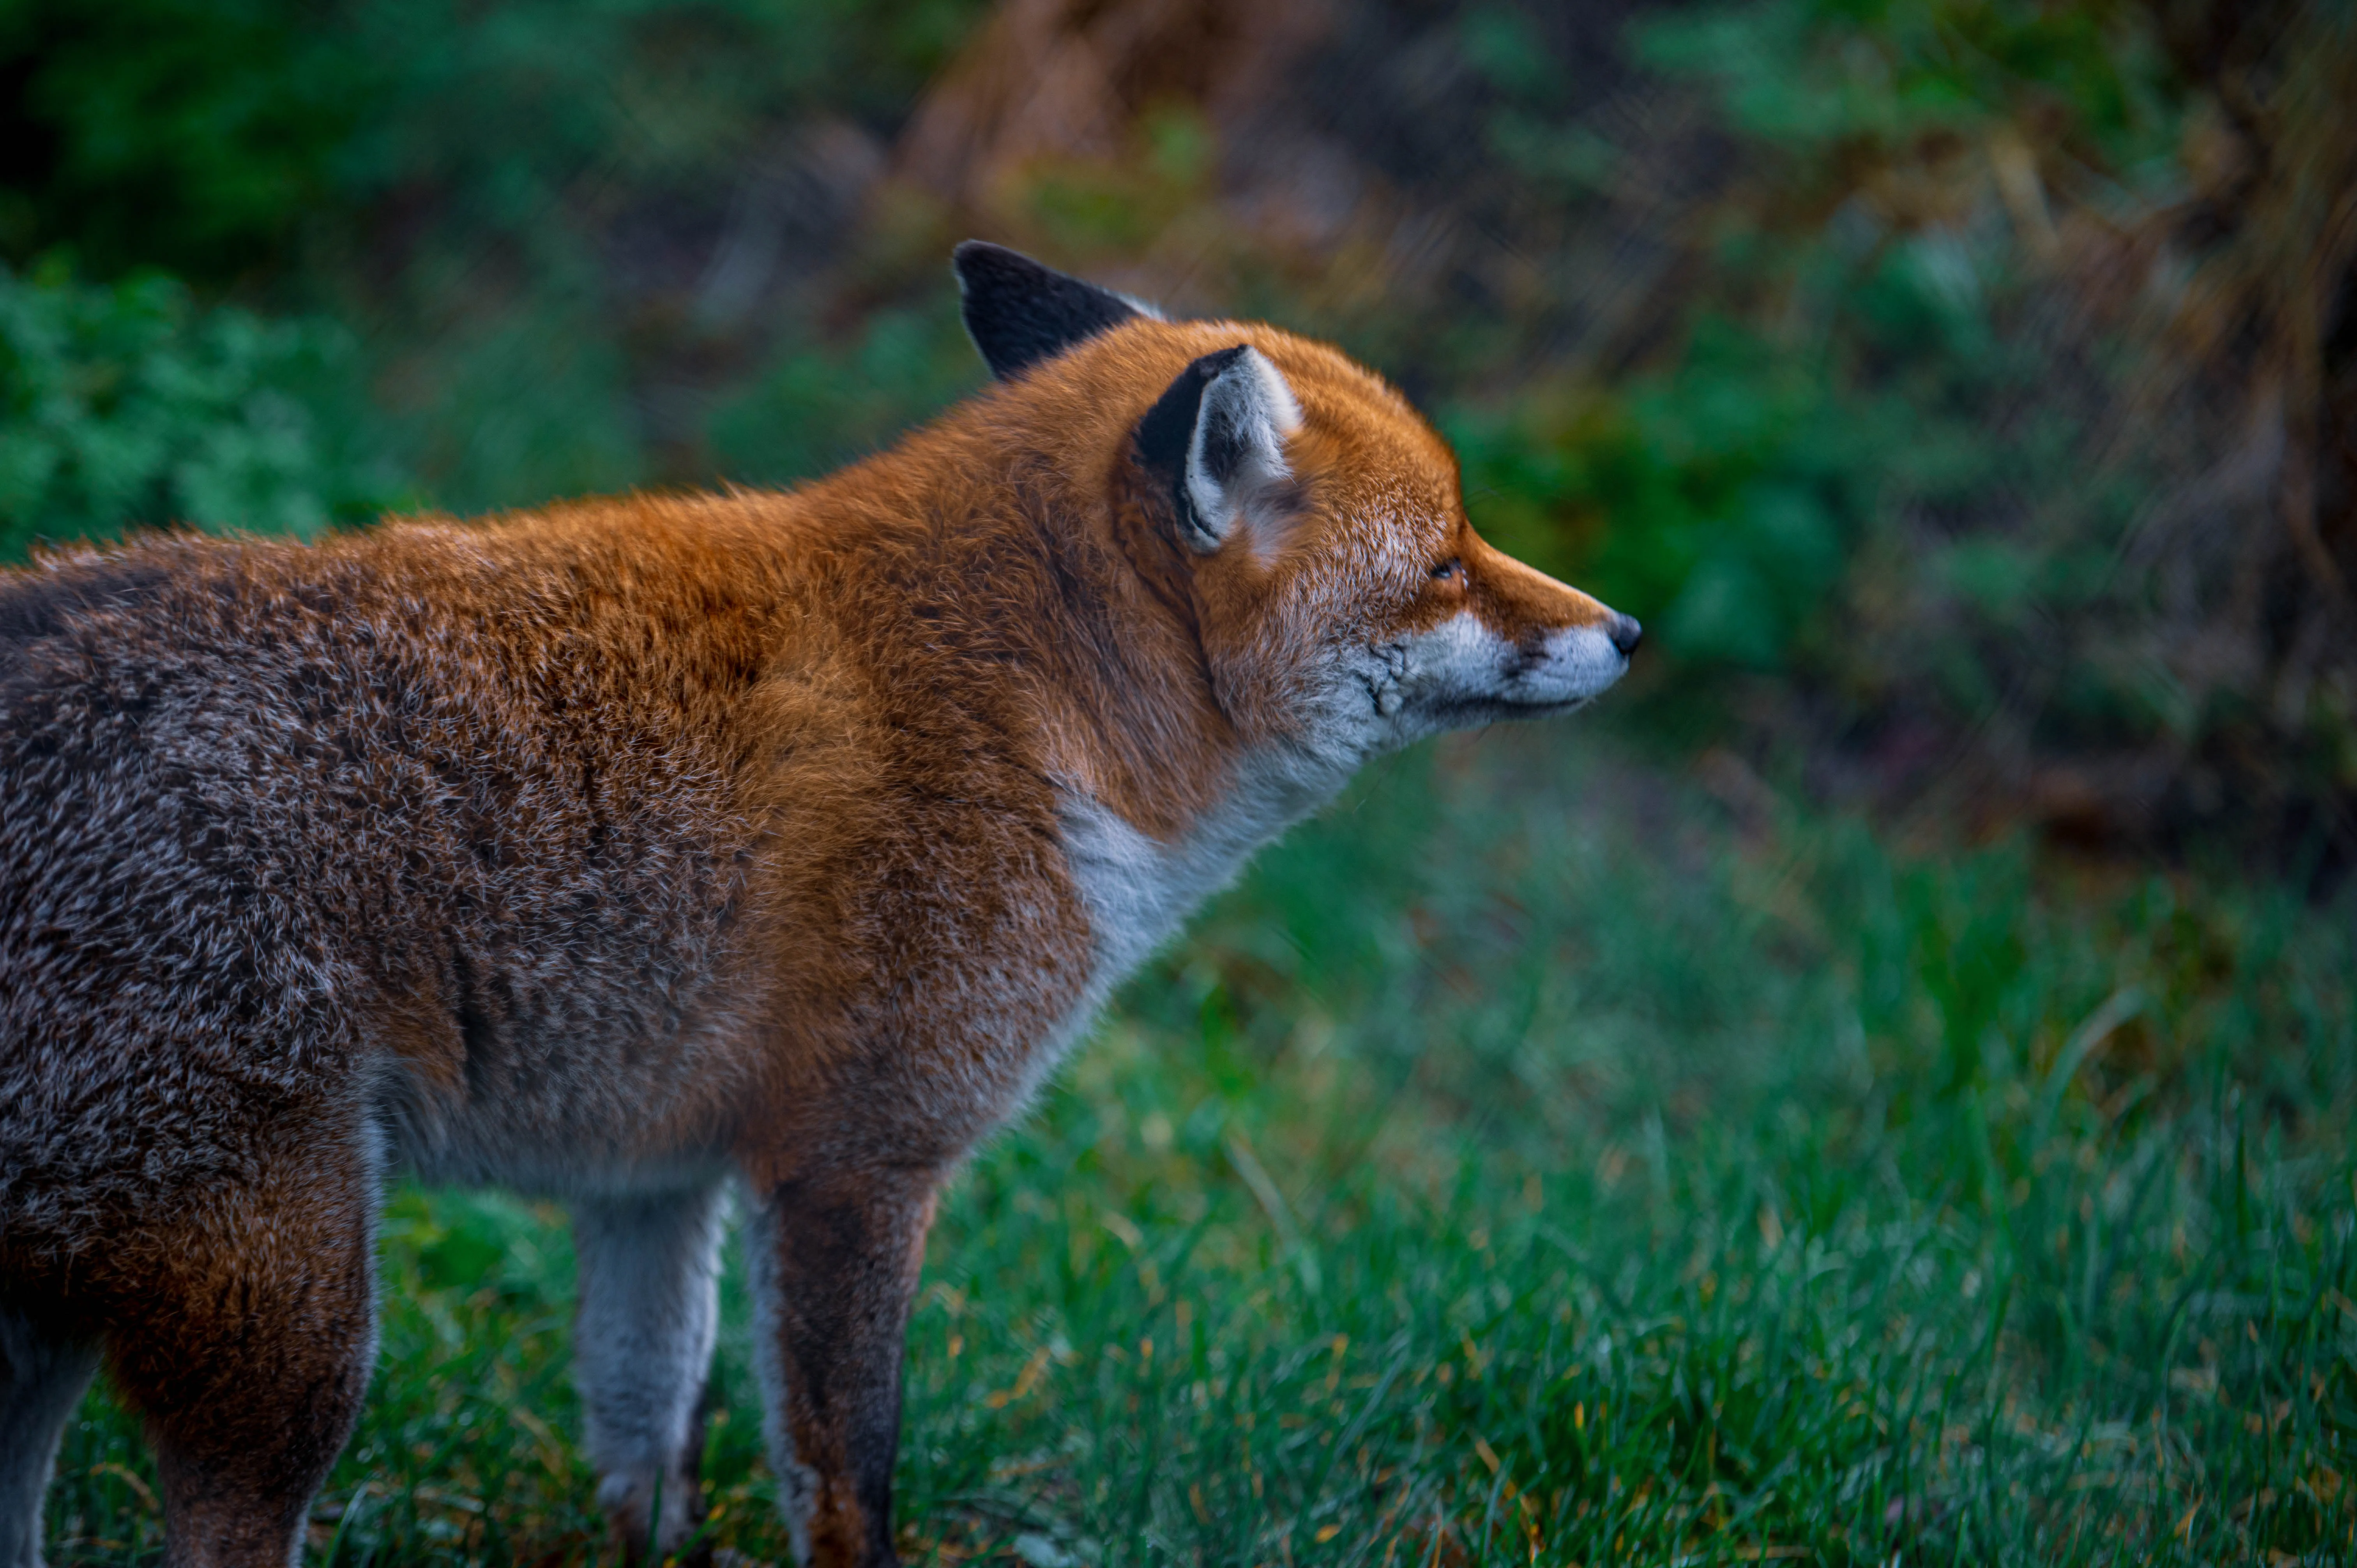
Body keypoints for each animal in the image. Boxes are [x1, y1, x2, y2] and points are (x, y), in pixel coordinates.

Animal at [0, 242, 1639, 1568]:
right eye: (1444, 563)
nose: (1624, 630)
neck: (1028, 704)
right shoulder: (856, 1159)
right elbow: (849, 1481)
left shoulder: (650, 1175)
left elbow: (644, 1433)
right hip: (291, 1333)